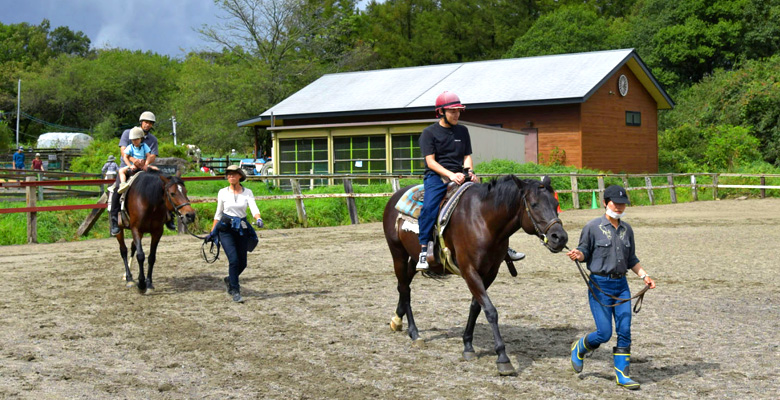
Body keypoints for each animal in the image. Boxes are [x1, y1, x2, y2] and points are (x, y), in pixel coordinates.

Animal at [382, 174, 568, 376]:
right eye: (534, 204)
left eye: (556, 203)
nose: (560, 237)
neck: (484, 220)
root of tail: (394, 197)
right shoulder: (469, 270)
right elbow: (491, 311)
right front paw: (503, 358)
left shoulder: (489, 272)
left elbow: (476, 307)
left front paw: (468, 346)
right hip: (398, 253)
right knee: (404, 288)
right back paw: (415, 333)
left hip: (413, 257)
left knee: (404, 285)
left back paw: (397, 320)